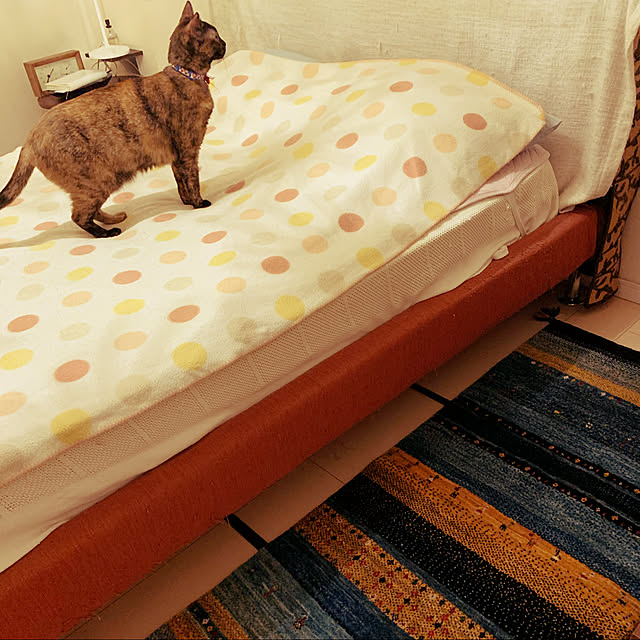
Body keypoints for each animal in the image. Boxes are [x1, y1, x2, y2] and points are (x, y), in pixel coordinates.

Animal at [0, 1, 225, 238]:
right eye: (216, 36)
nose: (225, 43)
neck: (185, 75)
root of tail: (29, 140)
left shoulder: (176, 158)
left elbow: (181, 184)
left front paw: (186, 203)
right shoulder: (187, 152)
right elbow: (193, 181)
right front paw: (199, 204)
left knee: (93, 211)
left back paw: (115, 218)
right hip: (99, 181)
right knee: (78, 216)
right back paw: (108, 232)